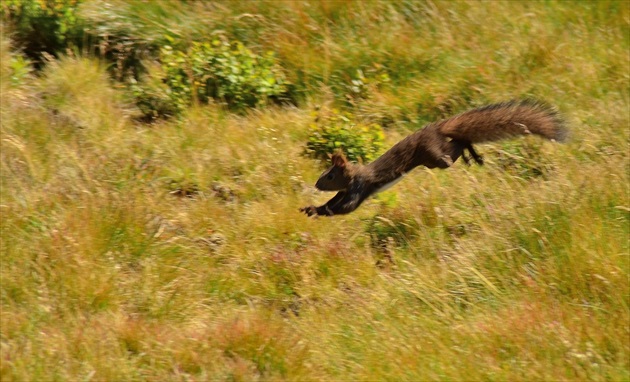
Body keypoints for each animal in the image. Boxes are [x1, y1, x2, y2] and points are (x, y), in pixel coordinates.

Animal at [302, 100, 568, 216]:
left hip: (433, 156)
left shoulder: (359, 187)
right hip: (433, 157)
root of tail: (437, 128)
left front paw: (319, 212)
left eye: (330, 175)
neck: (353, 175)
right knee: (459, 142)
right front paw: (312, 208)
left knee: (457, 145)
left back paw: (471, 154)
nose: (316, 183)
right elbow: (333, 203)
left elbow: (346, 208)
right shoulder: (344, 191)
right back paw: (473, 155)